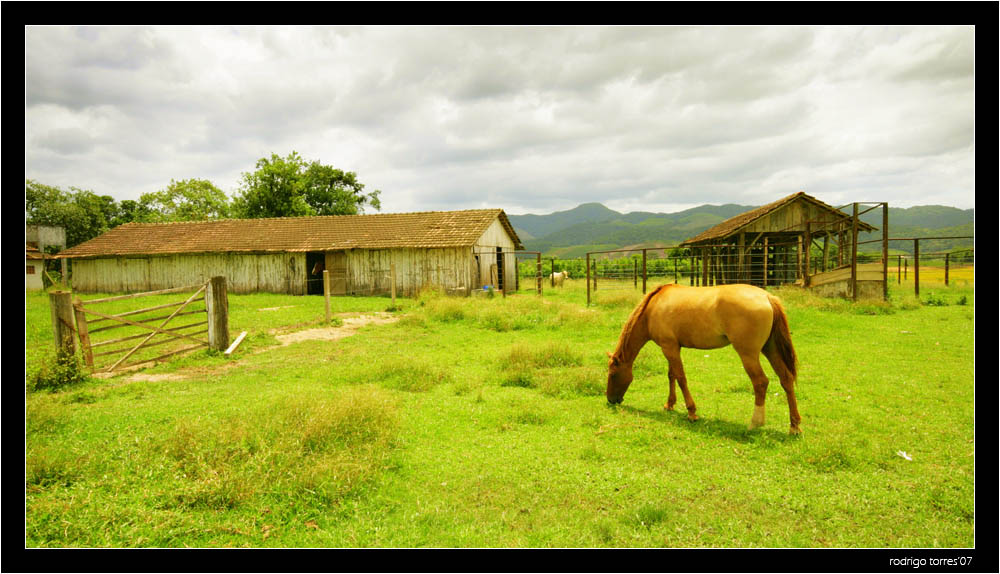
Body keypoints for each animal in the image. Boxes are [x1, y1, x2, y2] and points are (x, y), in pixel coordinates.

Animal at [600, 284, 804, 436]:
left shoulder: (669, 347)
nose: (611, 400)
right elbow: (671, 375)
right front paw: (670, 404)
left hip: (749, 354)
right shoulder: (672, 347)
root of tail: (767, 297)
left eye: (613, 374)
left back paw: (755, 423)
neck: (653, 308)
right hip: (770, 349)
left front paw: (691, 412)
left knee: (760, 382)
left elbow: (681, 378)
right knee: (786, 379)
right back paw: (794, 426)